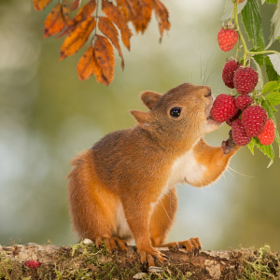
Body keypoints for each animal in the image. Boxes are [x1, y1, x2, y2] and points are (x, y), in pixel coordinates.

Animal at [67, 82, 238, 266]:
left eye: (185, 84)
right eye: (175, 112)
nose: (207, 91)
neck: (173, 151)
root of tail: (122, 233)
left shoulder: (194, 160)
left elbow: (207, 172)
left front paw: (233, 140)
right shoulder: (137, 178)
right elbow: (137, 213)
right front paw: (146, 249)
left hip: (165, 204)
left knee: (156, 239)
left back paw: (181, 242)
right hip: (87, 198)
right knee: (96, 229)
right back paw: (109, 239)